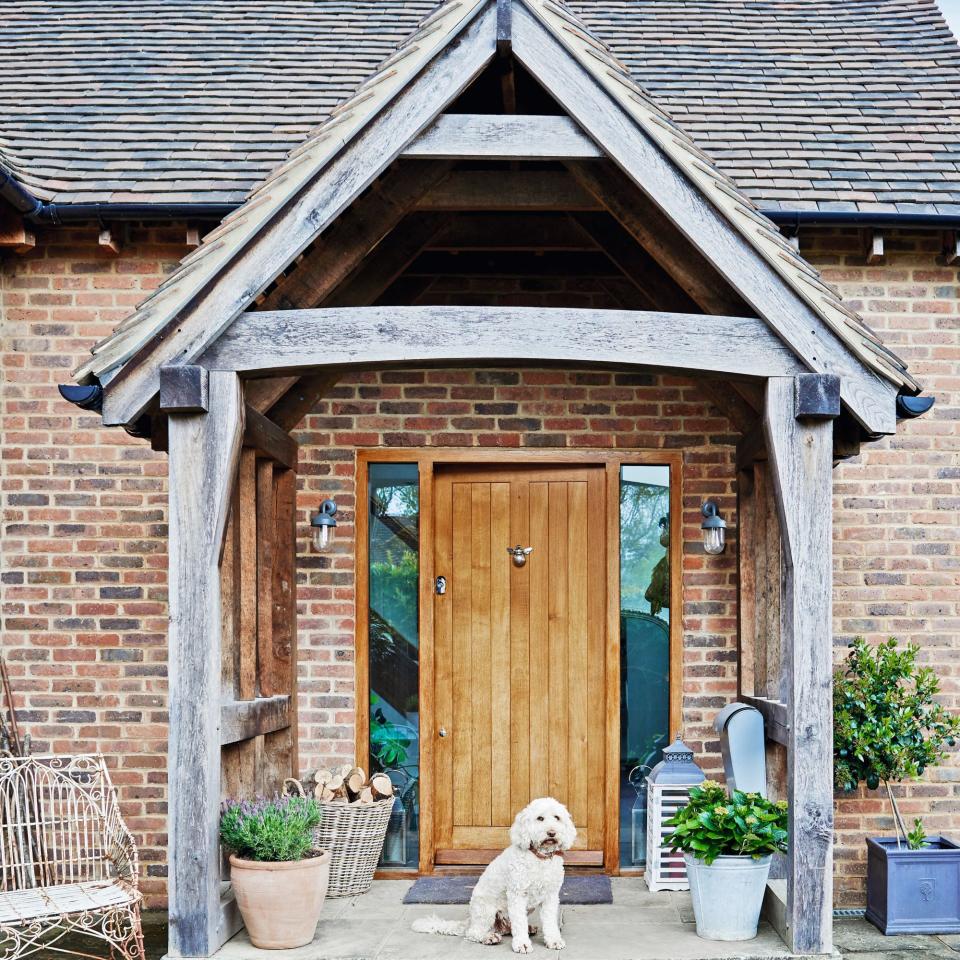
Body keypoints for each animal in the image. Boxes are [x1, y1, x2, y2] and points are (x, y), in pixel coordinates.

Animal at [408, 796, 572, 952]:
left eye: (557, 817)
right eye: (540, 818)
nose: (552, 833)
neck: (540, 858)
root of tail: (470, 920)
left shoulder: (550, 896)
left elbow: (550, 922)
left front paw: (554, 940)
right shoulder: (517, 895)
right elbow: (519, 922)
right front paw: (522, 944)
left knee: (506, 928)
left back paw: (526, 929)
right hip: (486, 910)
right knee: (473, 933)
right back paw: (488, 937)